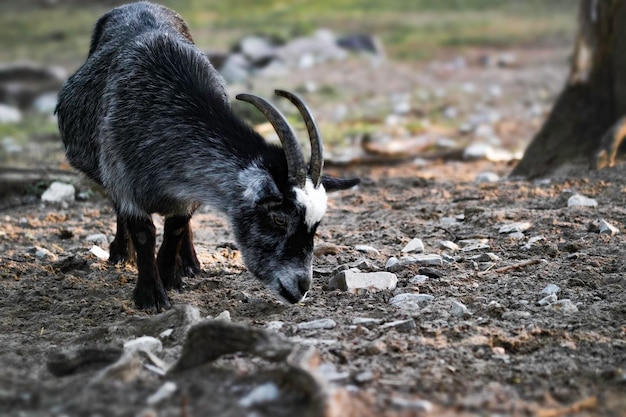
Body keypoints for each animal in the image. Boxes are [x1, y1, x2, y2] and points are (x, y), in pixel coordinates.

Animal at [56, 2, 358, 308]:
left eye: (316, 225)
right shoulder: (123, 177)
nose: (301, 287)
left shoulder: (185, 192)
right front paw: (151, 295)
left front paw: (170, 277)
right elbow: (143, 231)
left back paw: (189, 262)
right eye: (279, 219)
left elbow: (177, 225)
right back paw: (121, 252)